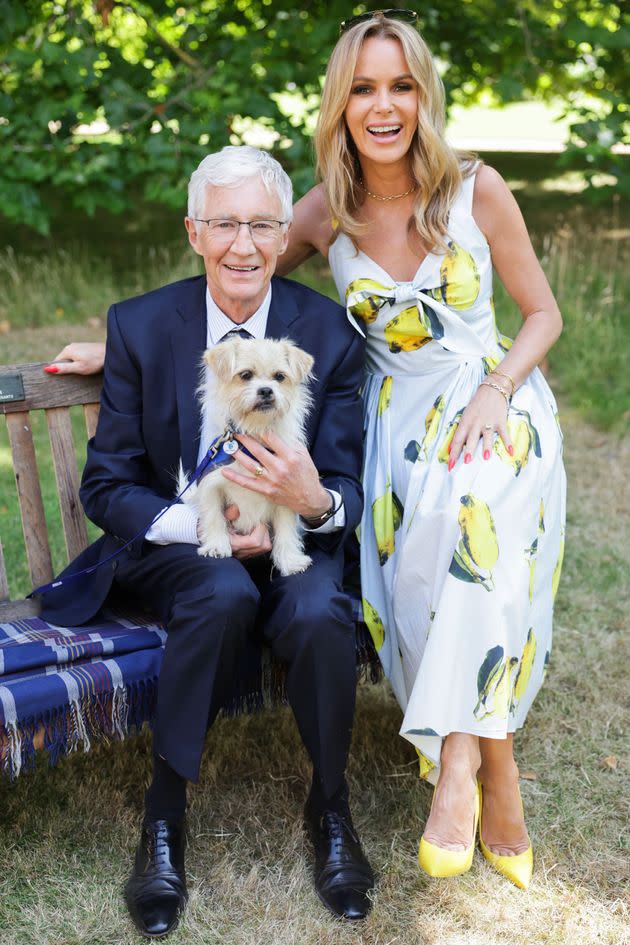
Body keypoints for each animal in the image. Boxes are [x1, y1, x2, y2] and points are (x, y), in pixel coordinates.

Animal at [183, 336, 316, 580]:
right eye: (245, 375)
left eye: (279, 377)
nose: (266, 391)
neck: (255, 431)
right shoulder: (211, 485)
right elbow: (214, 516)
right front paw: (216, 546)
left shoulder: (287, 492)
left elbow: (285, 529)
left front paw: (290, 560)